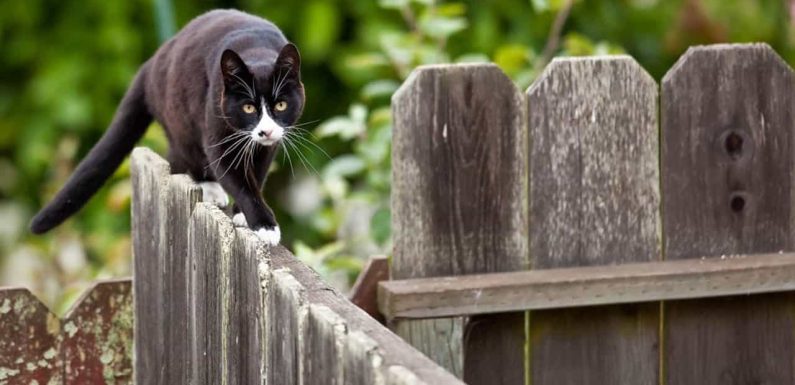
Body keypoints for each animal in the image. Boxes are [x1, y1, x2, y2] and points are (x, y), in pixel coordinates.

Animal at [27, 9, 302, 246]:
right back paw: (208, 187)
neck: (256, 50)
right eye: (248, 108)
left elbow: (258, 173)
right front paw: (265, 225)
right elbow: (235, 176)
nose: (265, 131)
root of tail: (151, 63)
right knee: (181, 157)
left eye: (280, 105)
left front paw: (243, 214)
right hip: (180, 119)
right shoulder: (217, 124)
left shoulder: (269, 146)